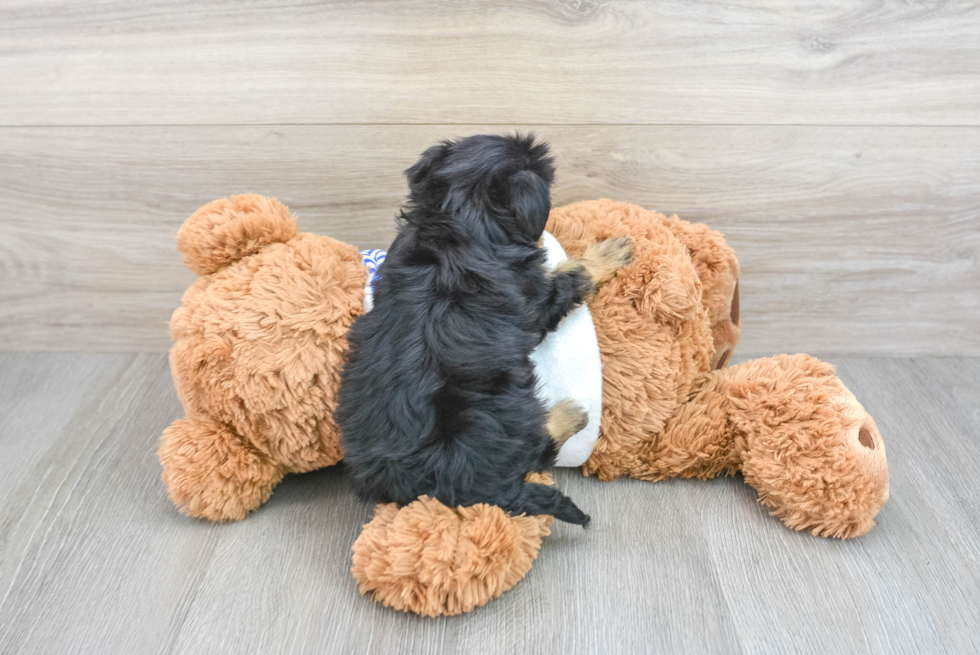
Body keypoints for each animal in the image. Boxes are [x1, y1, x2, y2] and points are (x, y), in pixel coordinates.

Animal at [334, 135, 628, 528]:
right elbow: (573, 275)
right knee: (537, 452)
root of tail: (444, 489)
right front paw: (608, 253)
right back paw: (569, 415)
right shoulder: (537, 301)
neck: (458, 225)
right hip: (507, 414)